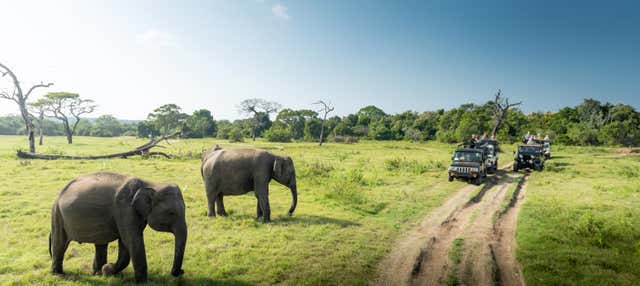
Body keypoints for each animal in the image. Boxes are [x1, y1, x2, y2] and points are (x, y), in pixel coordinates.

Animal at [50, 171, 186, 282]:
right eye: (171, 213)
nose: (180, 272)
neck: (150, 183)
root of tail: (59, 194)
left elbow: (125, 243)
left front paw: (107, 270)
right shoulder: (124, 209)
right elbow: (132, 240)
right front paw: (141, 282)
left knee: (100, 243)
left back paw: (97, 273)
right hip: (57, 214)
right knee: (60, 243)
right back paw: (59, 275)